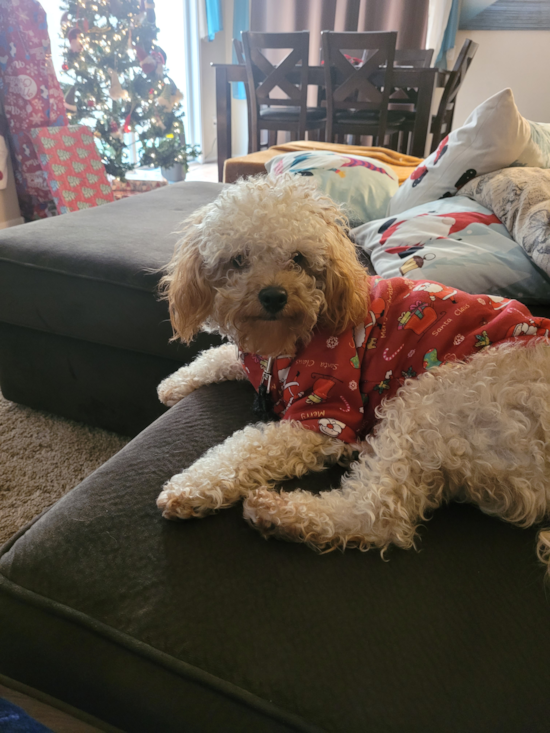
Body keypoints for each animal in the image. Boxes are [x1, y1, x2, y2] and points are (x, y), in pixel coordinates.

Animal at [155, 173, 550, 572]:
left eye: (298, 258)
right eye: (238, 260)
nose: (273, 296)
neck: (291, 337)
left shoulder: (327, 411)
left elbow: (247, 447)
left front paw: (191, 486)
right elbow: (220, 356)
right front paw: (174, 383)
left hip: (431, 400)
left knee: (377, 514)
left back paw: (277, 511)